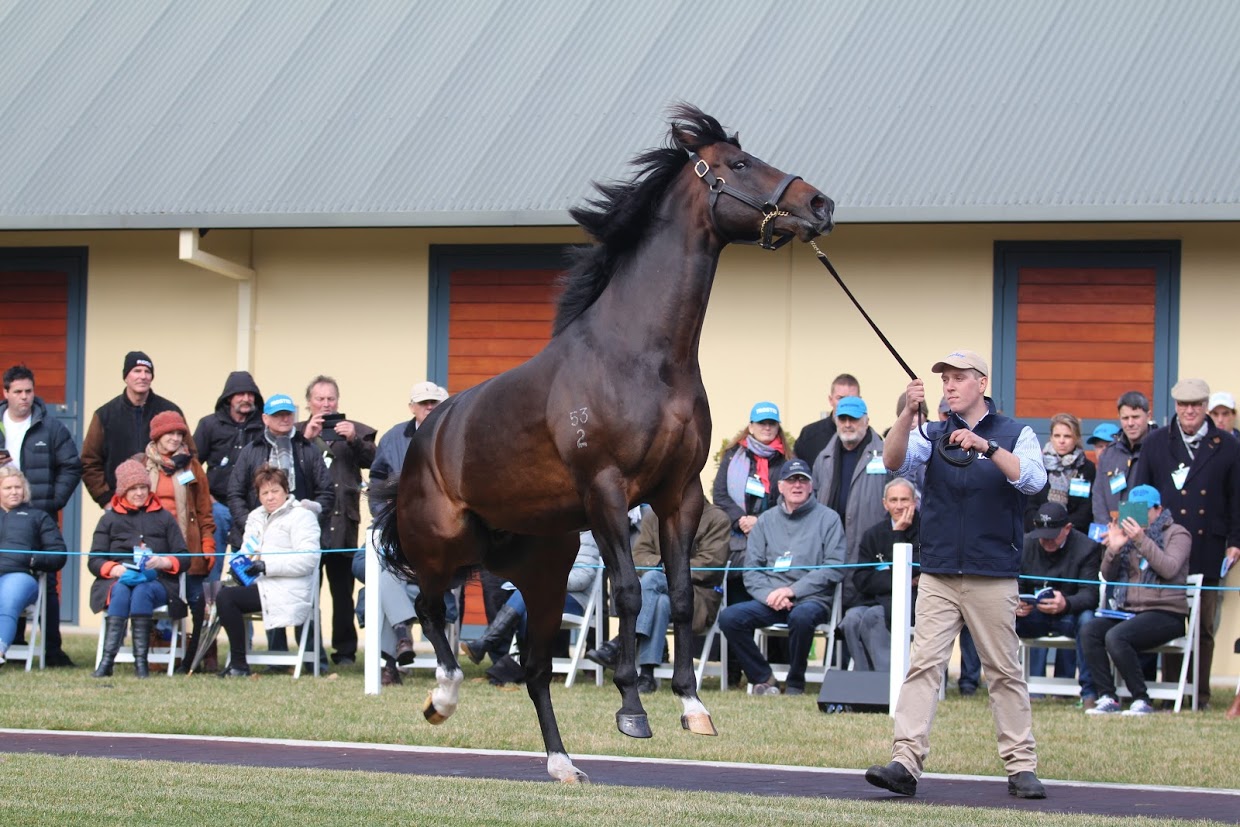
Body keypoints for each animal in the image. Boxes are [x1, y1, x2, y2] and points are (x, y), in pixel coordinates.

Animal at [372, 105, 828, 783]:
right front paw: (632, 709)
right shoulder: (608, 491)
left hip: (542, 568)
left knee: (534, 666)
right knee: (433, 608)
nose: (820, 203)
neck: (643, 357)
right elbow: (632, 592)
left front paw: (692, 705)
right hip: (443, 543)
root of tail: (426, 435)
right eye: (740, 164)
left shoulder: (678, 495)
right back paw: (443, 697)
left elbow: (681, 596)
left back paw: (562, 764)